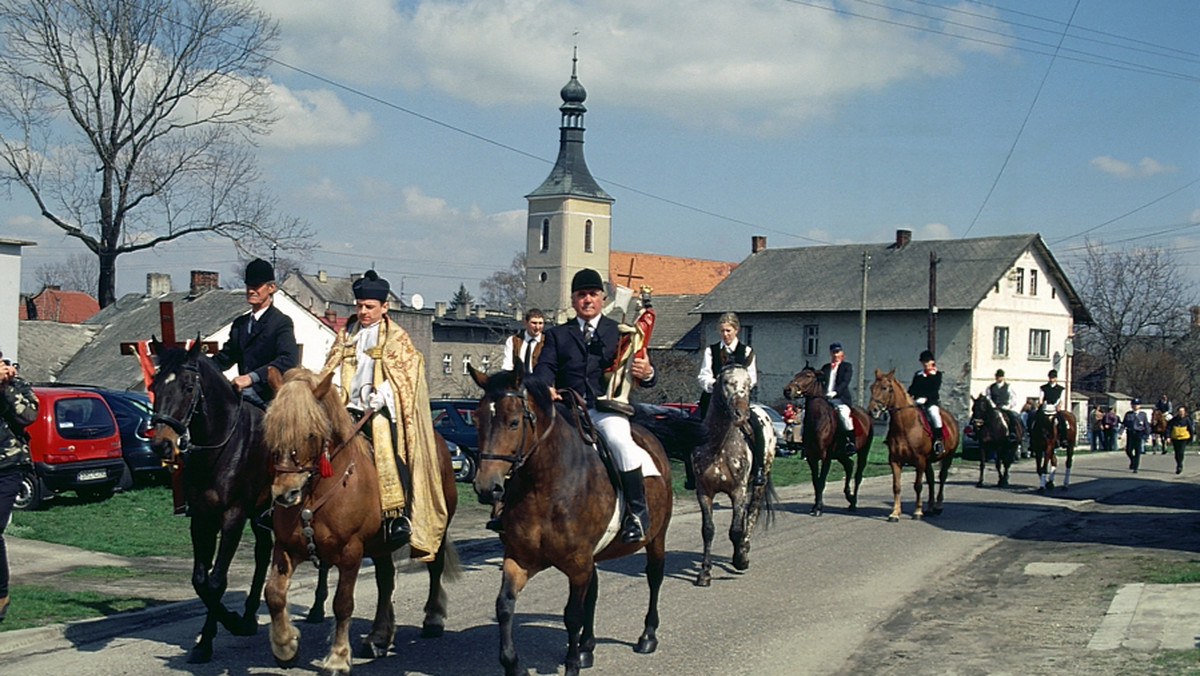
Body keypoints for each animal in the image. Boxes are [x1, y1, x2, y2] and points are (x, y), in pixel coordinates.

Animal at [262, 369, 458, 676]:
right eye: (271, 430)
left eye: (310, 433)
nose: (285, 494)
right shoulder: (285, 547)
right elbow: (273, 594)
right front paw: (285, 646)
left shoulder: (350, 552)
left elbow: (343, 604)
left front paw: (338, 658)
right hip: (379, 545)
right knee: (386, 580)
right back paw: (378, 636)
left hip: (435, 524)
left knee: (434, 567)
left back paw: (433, 619)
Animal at [470, 367, 676, 676]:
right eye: (477, 420)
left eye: (514, 422)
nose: (486, 488)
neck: (544, 486)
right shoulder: (521, 558)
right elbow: (505, 605)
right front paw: (513, 665)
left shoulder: (578, 564)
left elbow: (572, 615)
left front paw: (571, 665)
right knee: (594, 591)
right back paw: (587, 648)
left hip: (656, 538)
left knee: (654, 577)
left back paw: (647, 636)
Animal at [696, 365, 777, 588]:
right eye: (726, 382)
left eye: (748, 384)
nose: (741, 414)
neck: (719, 447)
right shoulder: (704, 492)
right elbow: (708, 530)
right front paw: (705, 573)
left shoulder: (737, 491)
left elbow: (736, 529)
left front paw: (739, 559)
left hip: (759, 483)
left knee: (752, 513)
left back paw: (744, 550)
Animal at [777, 367, 873, 516]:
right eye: (797, 374)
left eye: (808, 375)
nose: (787, 390)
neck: (818, 420)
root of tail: (865, 414)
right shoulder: (812, 457)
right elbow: (816, 482)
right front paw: (815, 507)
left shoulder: (825, 457)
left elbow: (822, 481)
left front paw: (818, 508)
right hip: (840, 454)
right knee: (849, 465)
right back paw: (849, 496)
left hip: (863, 451)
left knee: (858, 475)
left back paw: (853, 503)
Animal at [868, 369, 960, 523]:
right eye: (871, 388)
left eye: (885, 388)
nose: (872, 410)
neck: (906, 425)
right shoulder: (895, 461)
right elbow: (897, 487)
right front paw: (895, 513)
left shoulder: (920, 460)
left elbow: (918, 486)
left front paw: (917, 512)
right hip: (928, 462)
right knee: (931, 480)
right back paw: (929, 508)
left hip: (948, 456)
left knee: (942, 477)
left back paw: (938, 507)